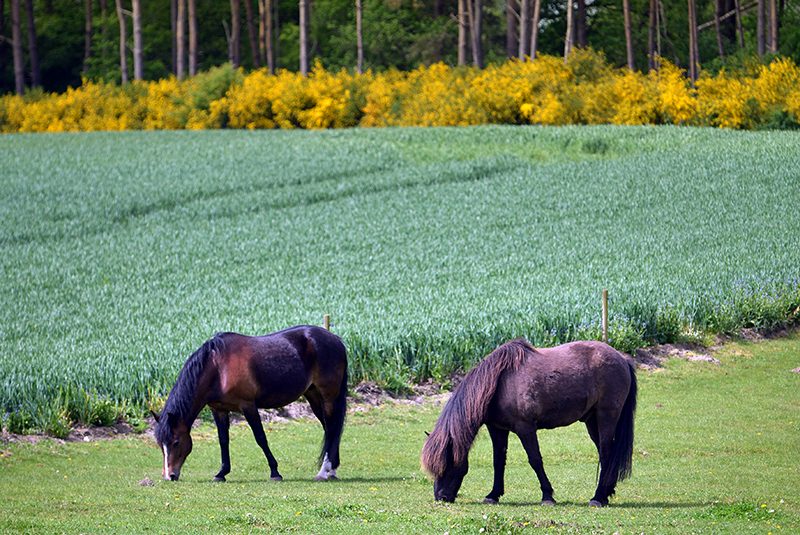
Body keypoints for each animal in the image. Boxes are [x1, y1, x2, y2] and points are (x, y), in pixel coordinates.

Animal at [153, 324, 346, 484]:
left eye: (176, 442)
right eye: (160, 445)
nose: (169, 476)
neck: (218, 369)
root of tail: (336, 340)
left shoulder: (248, 406)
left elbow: (260, 437)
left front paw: (275, 472)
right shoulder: (219, 410)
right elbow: (223, 440)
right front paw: (221, 473)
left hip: (328, 397)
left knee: (332, 429)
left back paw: (324, 471)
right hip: (313, 395)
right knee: (330, 429)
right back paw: (332, 470)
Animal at [418, 340, 636, 506]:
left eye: (446, 464)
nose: (440, 497)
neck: (498, 384)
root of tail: (622, 359)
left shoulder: (525, 428)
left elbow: (535, 460)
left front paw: (547, 496)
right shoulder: (497, 429)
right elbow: (498, 461)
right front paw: (493, 495)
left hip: (606, 416)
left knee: (606, 452)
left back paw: (598, 498)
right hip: (591, 421)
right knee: (605, 453)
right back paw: (606, 493)